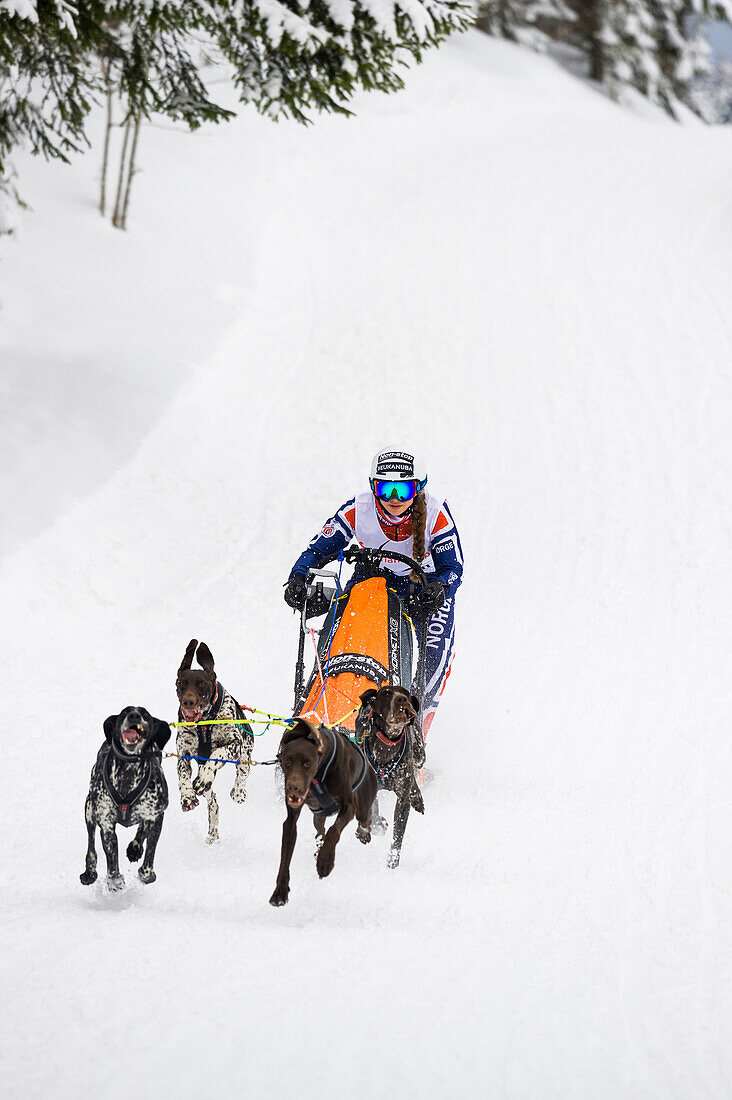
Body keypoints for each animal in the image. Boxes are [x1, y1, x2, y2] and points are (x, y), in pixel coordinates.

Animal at [80, 704, 171, 893]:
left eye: (145, 714)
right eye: (124, 712)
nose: (134, 716)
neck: (129, 770)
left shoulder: (156, 816)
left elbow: (149, 855)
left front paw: (146, 873)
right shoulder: (106, 824)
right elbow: (112, 859)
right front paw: (114, 880)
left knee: (142, 830)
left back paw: (135, 848)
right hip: (89, 809)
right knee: (91, 845)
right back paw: (89, 872)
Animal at [175, 638, 253, 840]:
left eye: (202, 684)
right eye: (181, 682)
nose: (188, 702)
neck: (204, 724)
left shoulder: (234, 744)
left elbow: (217, 753)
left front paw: (203, 777)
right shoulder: (183, 755)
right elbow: (183, 777)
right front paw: (187, 796)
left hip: (245, 754)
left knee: (241, 775)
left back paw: (238, 792)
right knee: (213, 803)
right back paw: (213, 832)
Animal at [270, 717, 378, 906]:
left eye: (307, 763)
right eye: (287, 762)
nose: (293, 788)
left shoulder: (348, 806)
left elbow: (334, 831)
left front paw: (325, 861)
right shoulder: (290, 821)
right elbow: (285, 857)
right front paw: (280, 891)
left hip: (363, 806)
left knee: (365, 821)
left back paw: (363, 834)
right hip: (318, 815)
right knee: (320, 830)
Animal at [356, 686, 424, 866]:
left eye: (406, 693)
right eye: (386, 693)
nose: (402, 699)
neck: (387, 742)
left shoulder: (402, 801)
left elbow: (397, 836)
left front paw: (393, 861)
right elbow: (369, 812)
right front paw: (364, 831)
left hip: (419, 756)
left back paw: (417, 797)